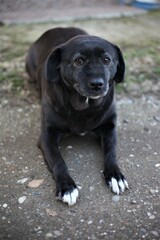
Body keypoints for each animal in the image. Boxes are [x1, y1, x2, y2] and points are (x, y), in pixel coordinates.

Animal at [26, 27, 129, 205]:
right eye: (79, 61)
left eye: (106, 60)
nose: (97, 84)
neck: (84, 106)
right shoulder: (47, 137)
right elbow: (58, 161)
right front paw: (67, 187)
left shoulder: (109, 128)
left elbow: (111, 152)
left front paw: (116, 176)